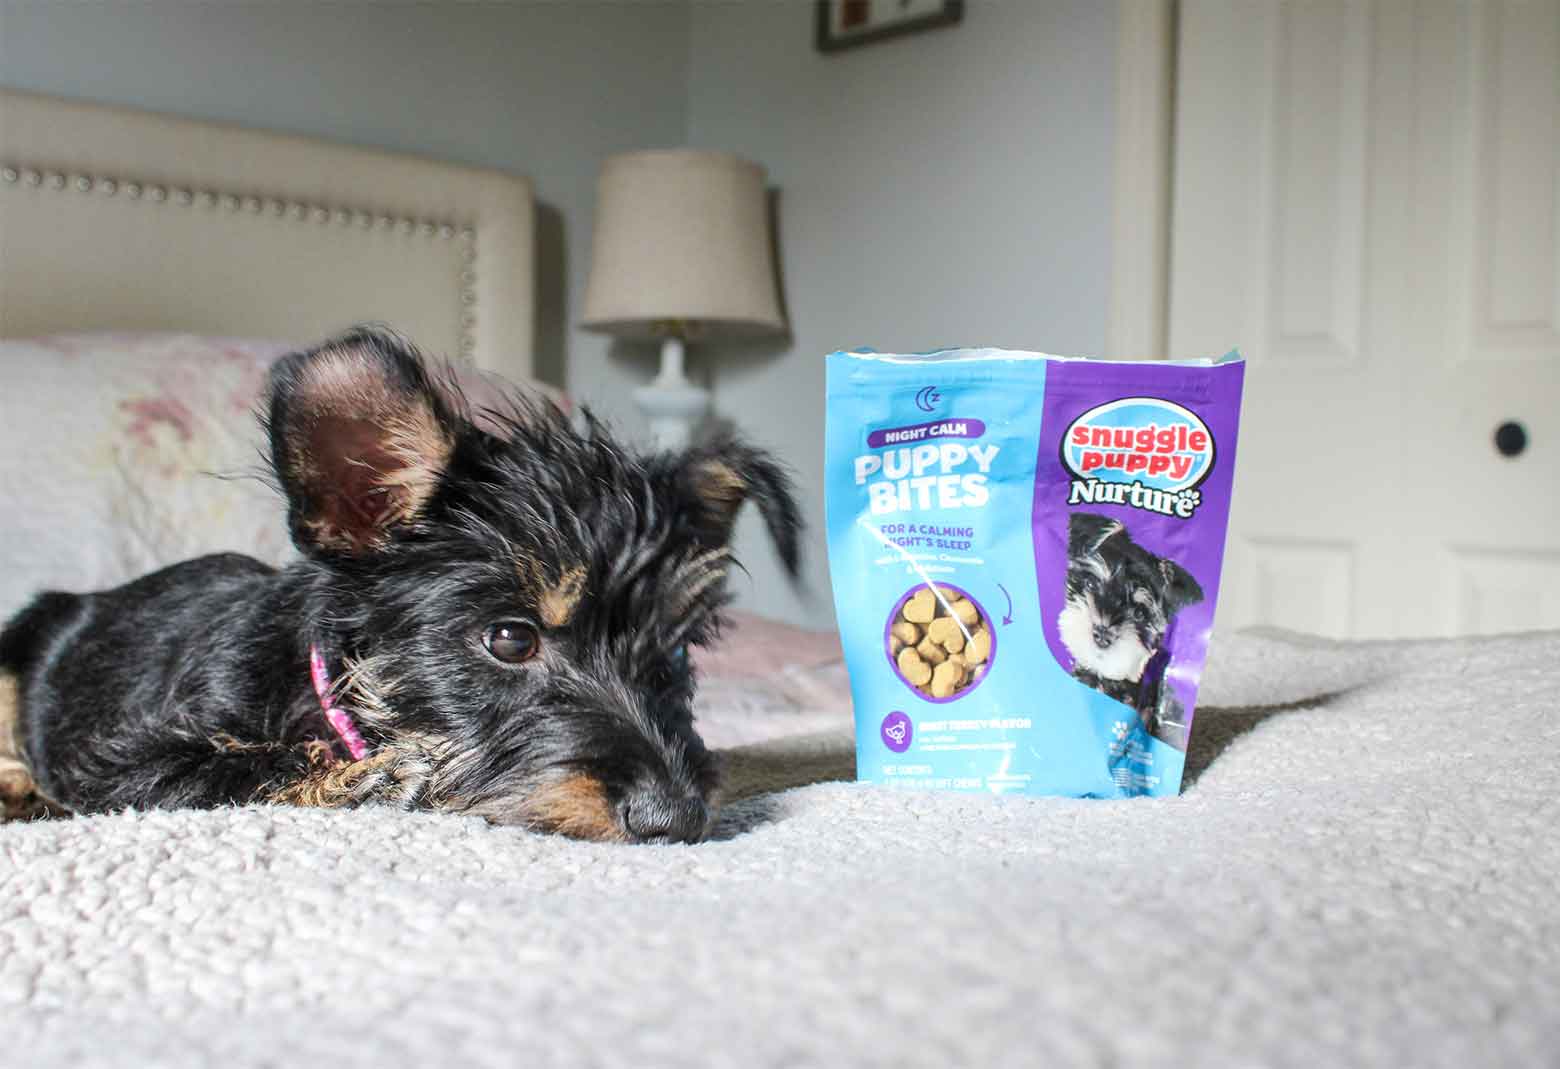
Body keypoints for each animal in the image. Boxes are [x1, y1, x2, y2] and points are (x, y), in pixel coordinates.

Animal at [0, 324, 798, 842]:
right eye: (510, 639)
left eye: (676, 656)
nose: (679, 819)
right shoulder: (119, 767)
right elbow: (226, 771)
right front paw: (372, 780)